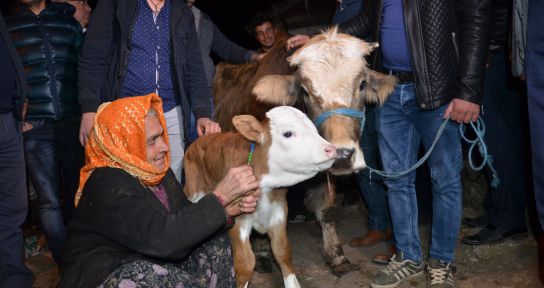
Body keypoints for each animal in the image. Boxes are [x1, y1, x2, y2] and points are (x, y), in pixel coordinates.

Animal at [185, 106, 338, 288]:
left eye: (314, 129)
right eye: (287, 133)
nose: (331, 149)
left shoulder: (279, 211)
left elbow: (282, 251)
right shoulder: (238, 218)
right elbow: (245, 262)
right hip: (193, 190)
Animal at [211, 27, 396, 276]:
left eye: (362, 85)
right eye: (306, 92)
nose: (343, 155)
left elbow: (326, 209)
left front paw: (337, 256)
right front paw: (262, 254)